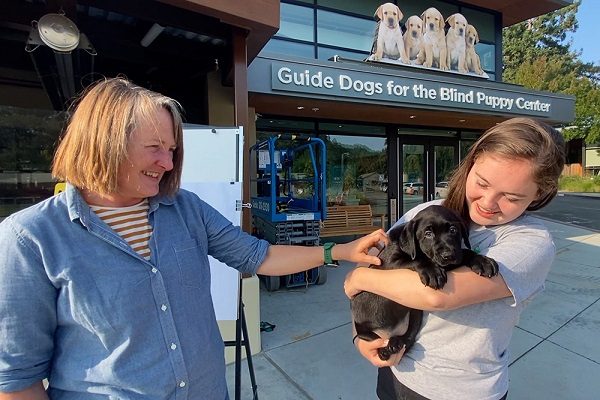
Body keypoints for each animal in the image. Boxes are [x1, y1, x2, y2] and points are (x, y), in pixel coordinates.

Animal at [352, 205, 496, 360]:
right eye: (428, 234)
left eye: (453, 230)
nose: (448, 255)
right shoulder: (391, 263)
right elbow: (418, 259)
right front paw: (432, 271)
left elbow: (464, 252)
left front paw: (482, 261)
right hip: (362, 327)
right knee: (369, 336)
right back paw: (384, 350)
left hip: (415, 313)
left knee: (408, 336)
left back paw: (396, 343)